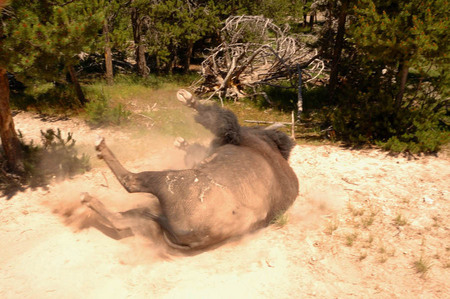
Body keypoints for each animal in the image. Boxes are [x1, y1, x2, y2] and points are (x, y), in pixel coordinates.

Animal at [81, 89, 298, 251]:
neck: (270, 146)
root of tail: (199, 240)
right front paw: (182, 141)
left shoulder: (233, 133)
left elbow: (217, 119)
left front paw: (187, 98)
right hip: (154, 216)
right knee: (122, 221)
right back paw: (89, 198)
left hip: (166, 181)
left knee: (131, 182)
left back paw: (99, 153)